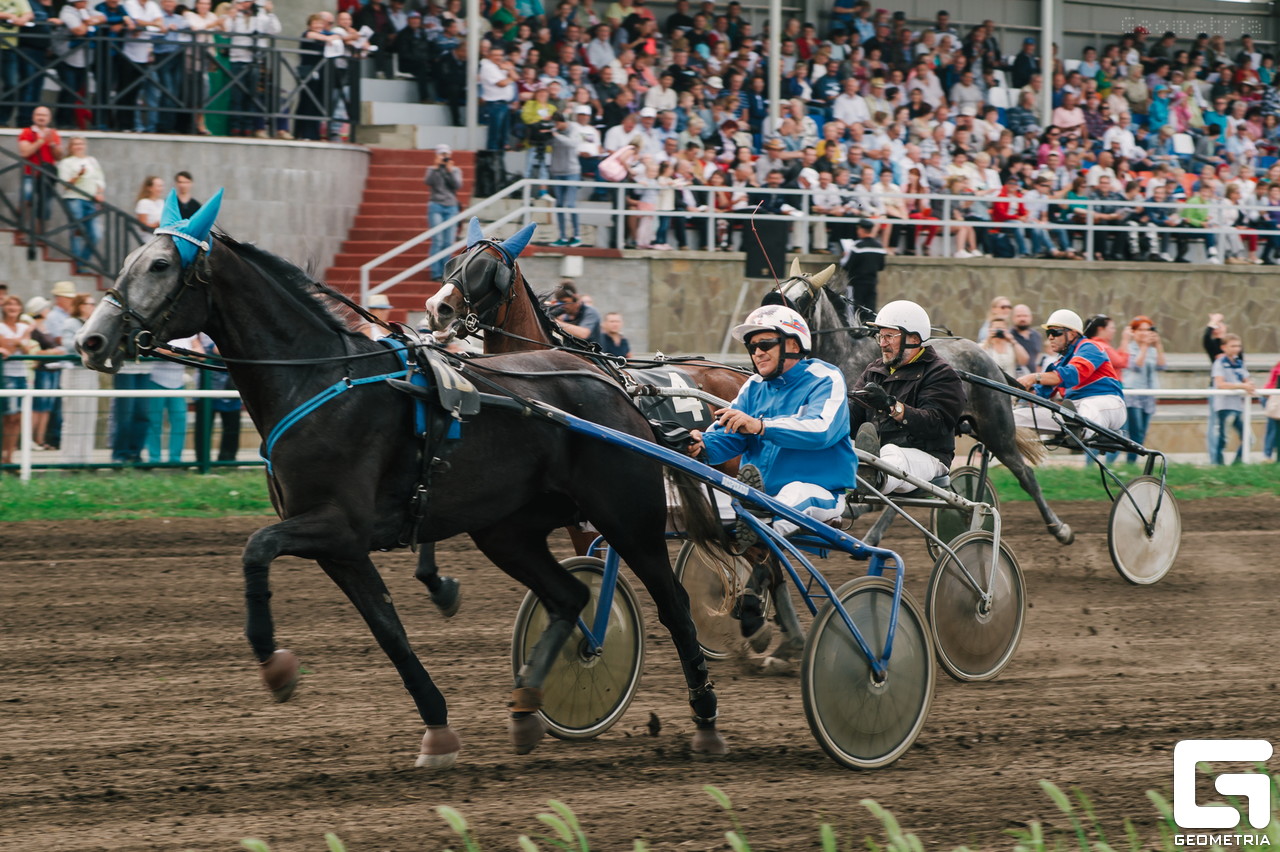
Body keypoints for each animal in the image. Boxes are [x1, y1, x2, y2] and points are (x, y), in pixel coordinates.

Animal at [768, 258, 1070, 547]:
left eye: (801, 300)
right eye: (775, 292)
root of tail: (988, 357)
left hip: (996, 430)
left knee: (1023, 474)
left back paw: (1059, 528)